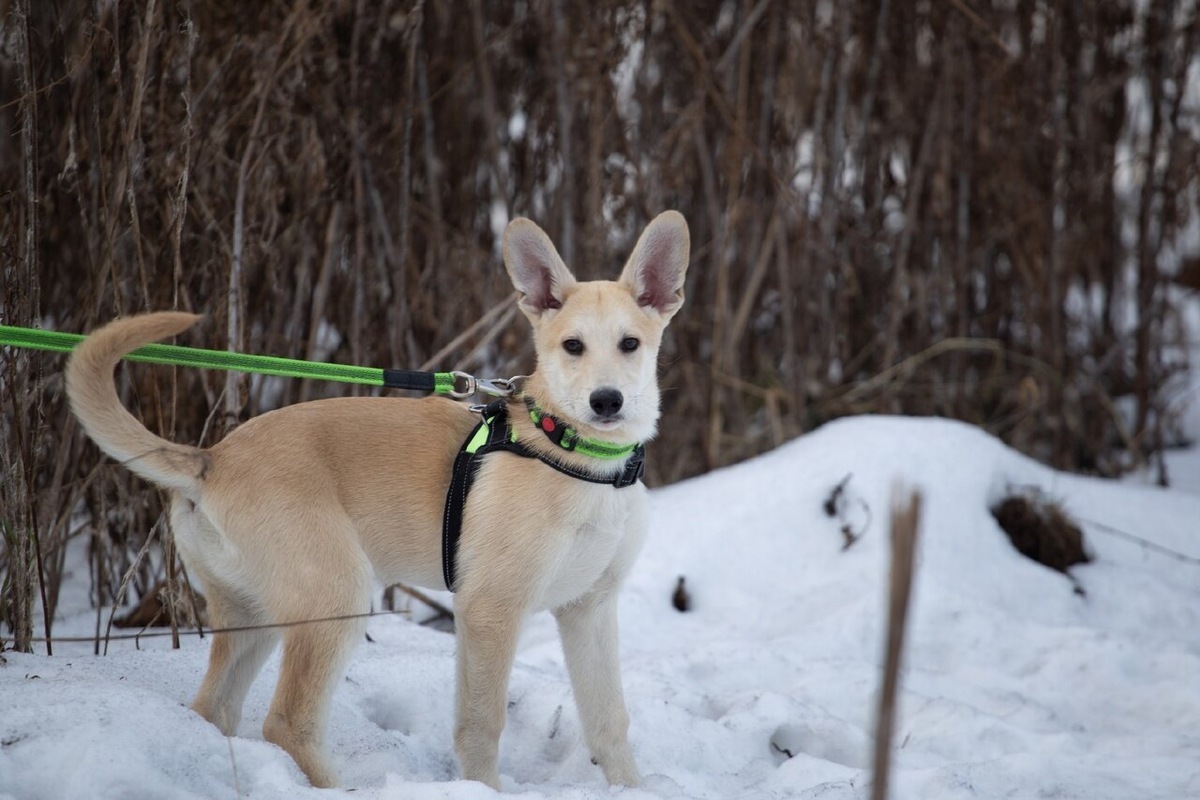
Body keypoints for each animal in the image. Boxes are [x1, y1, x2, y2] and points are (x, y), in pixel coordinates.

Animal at [65, 209, 691, 791]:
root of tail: (210, 460)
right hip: (334, 598)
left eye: (630, 344)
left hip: (254, 612)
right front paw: (482, 790)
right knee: (286, 721)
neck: (577, 456)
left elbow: (609, 719)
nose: (606, 402)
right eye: (572, 346)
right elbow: (481, 723)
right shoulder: (489, 610)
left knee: (214, 708)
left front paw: (633, 789)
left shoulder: (590, 609)